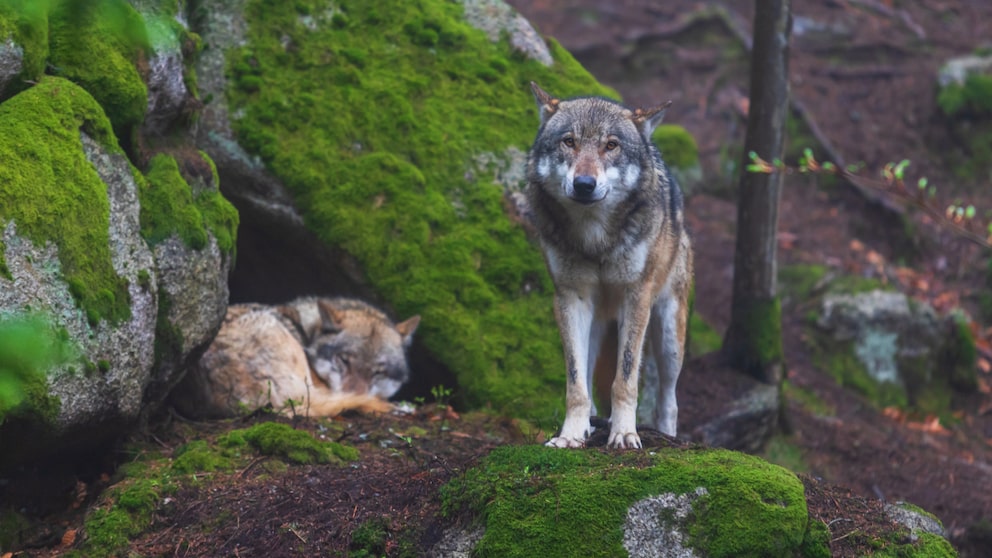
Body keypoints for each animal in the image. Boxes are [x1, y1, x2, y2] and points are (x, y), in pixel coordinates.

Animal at [525, 83, 693, 449]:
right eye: (569, 141)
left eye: (611, 145)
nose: (584, 184)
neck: (595, 240)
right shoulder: (570, 298)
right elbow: (575, 384)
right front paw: (570, 435)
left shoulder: (637, 296)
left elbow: (625, 379)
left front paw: (625, 433)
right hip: (595, 324)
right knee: (588, 381)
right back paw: (587, 427)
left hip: (669, 337)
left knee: (669, 399)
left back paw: (665, 434)